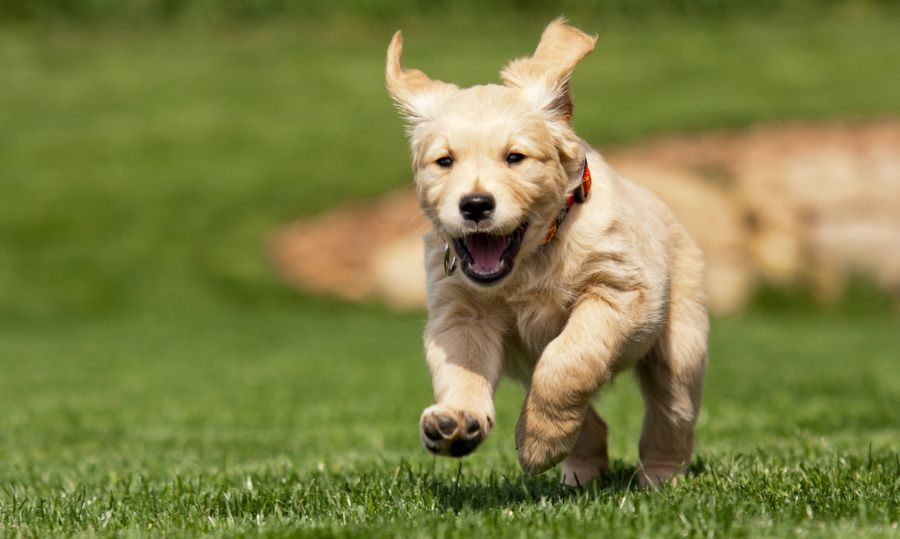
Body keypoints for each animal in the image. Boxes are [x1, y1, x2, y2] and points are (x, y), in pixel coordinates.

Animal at [386, 19, 712, 488]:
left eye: (515, 157)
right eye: (444, 161)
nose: (475, 205)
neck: (533, 258)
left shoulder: (617, 291)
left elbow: (568, 360)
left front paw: (539, 443)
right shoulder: (461, 313)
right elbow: (463, 368)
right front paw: (457, 421)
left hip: (680, 345)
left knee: (671, 414)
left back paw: (659, 479)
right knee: (591, 422)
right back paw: (580, 472)